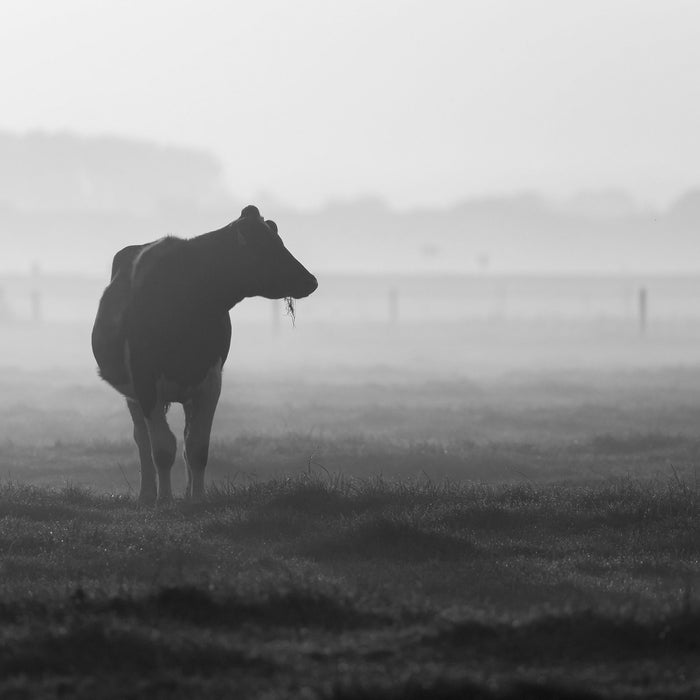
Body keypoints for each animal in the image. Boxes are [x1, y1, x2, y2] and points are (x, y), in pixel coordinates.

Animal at [90, 204, 318, 504]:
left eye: (279, 241)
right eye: (266, 246)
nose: (311, 281)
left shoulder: (210, 381)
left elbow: (197, 448)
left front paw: (196, 499)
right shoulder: (145, 382)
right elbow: (162, 449)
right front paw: (165, 500)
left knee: (185, 438)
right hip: (134, 396)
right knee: (142, 440)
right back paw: (147, 494)